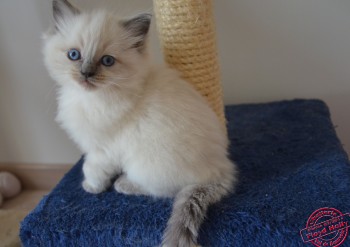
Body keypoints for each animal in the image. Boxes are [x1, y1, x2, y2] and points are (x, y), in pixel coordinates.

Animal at [43, 0, 238, 246]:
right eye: (73, 55)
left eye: (107, 61)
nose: (86, 74)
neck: (92, 98)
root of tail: (222, 167)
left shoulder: (102, 150)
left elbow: (91, 168)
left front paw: (91, 187)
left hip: (144, 164)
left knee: (164, 190)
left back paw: (123, 184)